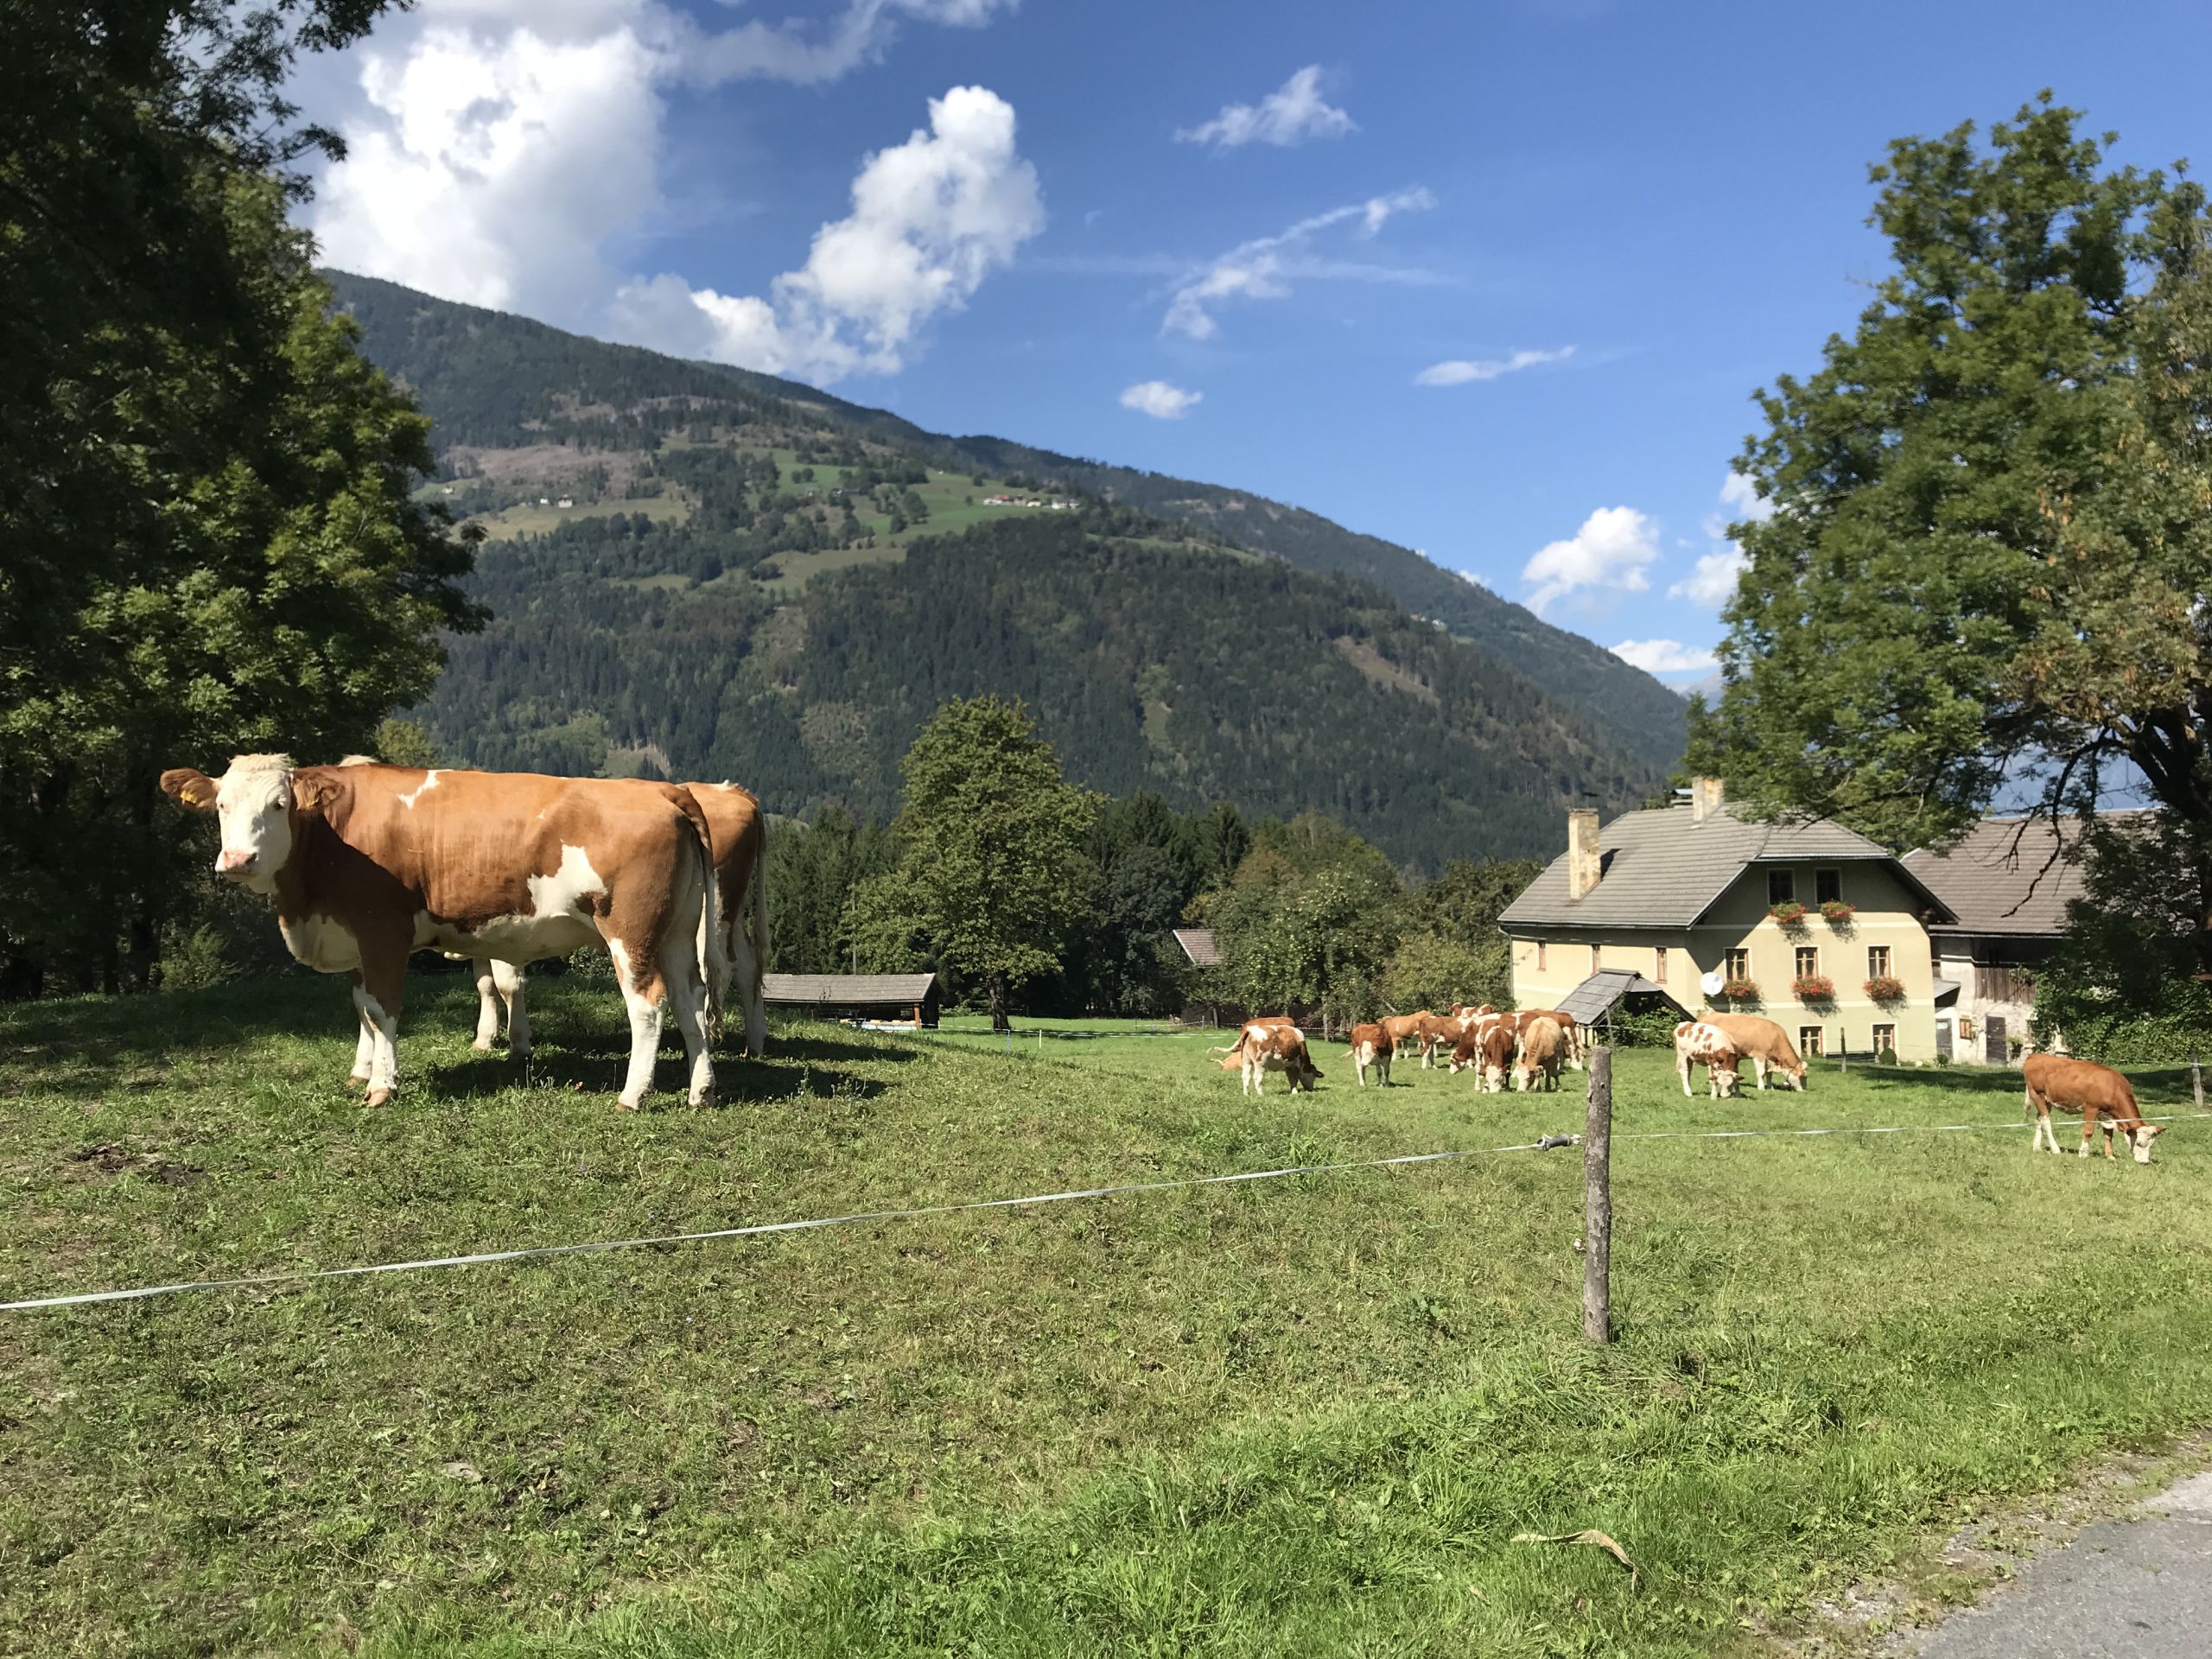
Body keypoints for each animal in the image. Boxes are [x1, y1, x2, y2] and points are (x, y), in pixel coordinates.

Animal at [161, 760, 725, 1110]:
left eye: (279, 805)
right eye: (221, 806)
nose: (237, 860)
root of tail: (660, 788)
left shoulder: (382, 930)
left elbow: (383, 1009)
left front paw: (382, 1086)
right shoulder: (355, 938)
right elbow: (362, 1007)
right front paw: (362, 1069)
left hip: (630, 930)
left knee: (647, 1003)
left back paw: (633, 1095)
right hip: (675, 930)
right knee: (690, 999)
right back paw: (701, 1090)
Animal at [2025, 1052, 2158, 1167]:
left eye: (2151, 1145)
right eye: (2139, 1143)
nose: (2145, 1162)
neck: (2113, 1086)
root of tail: (2035, 1055)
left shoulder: (2107, 1115)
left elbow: (2108, 1135)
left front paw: (2110, 1156)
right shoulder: (2091, 1107)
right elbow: (2088, 1131)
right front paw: (2083, 1153)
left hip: (2047, 1100)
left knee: (2039, 1120)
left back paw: (2036, 1147)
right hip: (2037, 1094)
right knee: (2046, 1122)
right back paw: (2055, 1149)